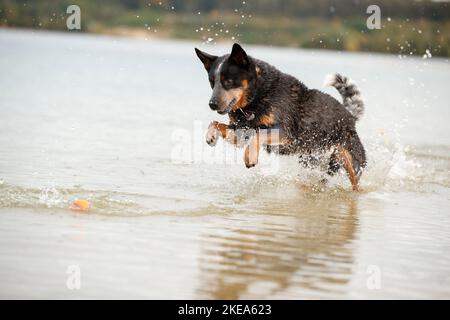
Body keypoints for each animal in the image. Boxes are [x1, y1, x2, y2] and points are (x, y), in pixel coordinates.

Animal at [193, 42, 366, 190]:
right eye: (212, 82)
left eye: (228, 81)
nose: (212, 104)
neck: (258, 96)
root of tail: (351, 117)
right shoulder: (241, 134)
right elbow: (214, 123)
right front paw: (210, 136)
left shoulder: (287, 133)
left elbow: (259, 134)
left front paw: (251, 157)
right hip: (311, 161)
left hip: (351, 161)